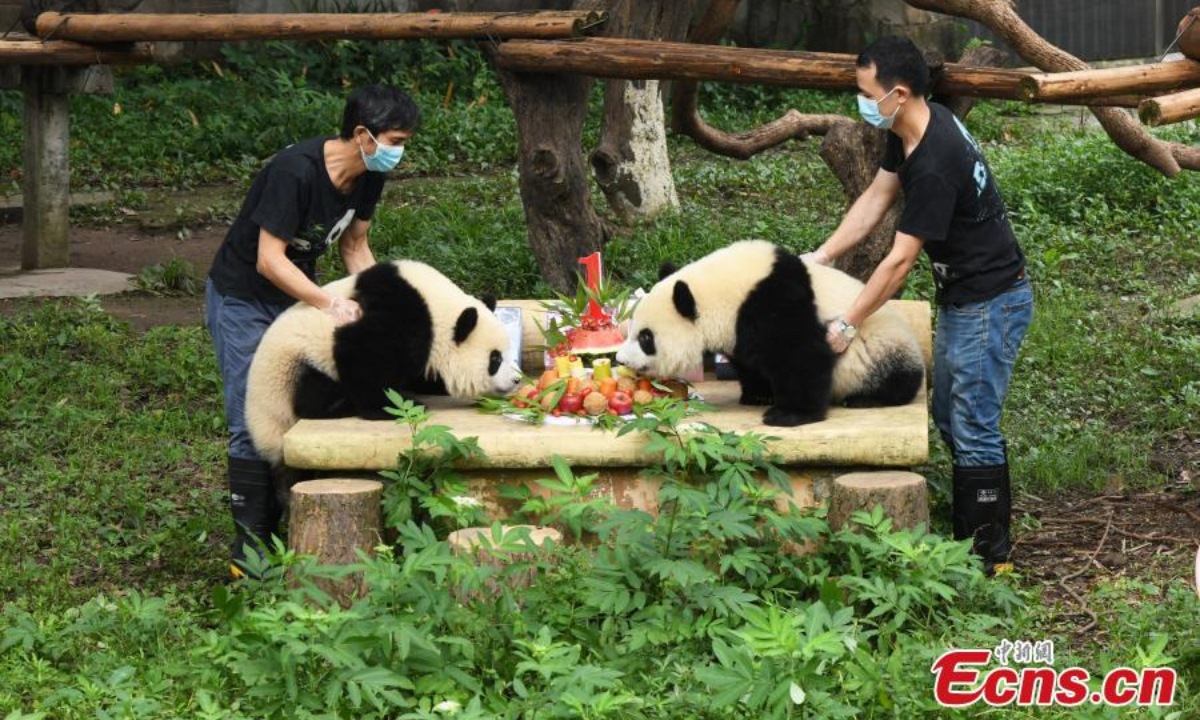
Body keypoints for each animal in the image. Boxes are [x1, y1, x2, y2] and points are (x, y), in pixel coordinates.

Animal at [246, 259, 523, 468]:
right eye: (495, 358)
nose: (517, 379)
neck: (438, 307)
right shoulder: (404, 314)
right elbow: (361, 353)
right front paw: (391, 407)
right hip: (295, 363)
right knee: (312, 393)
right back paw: (340, 406)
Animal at [619, 238, 926, 424]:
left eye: (645, 338)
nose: (621, 359)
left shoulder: (776, 301)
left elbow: (801, 357)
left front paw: (788, 414)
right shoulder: (739, 329)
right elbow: (750, 361)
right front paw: (759, 395)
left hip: (882, 348)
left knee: (894, 376)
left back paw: (866, 398)